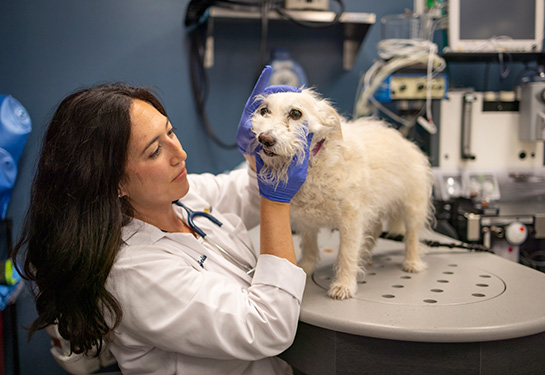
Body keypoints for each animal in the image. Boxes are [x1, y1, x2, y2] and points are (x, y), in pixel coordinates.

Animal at [250, 88, 434, 300]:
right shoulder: (306, 221)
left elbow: (346, 253)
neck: (315, 164)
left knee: (411, 236)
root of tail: (405, 141)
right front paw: (304, 268)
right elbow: (310, 247)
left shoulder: (351, 221)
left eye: (296, 113)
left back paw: (412, 262)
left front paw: (344, 285)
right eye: (264, 111)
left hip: (412, 207)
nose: (265, 139)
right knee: (375, 229)